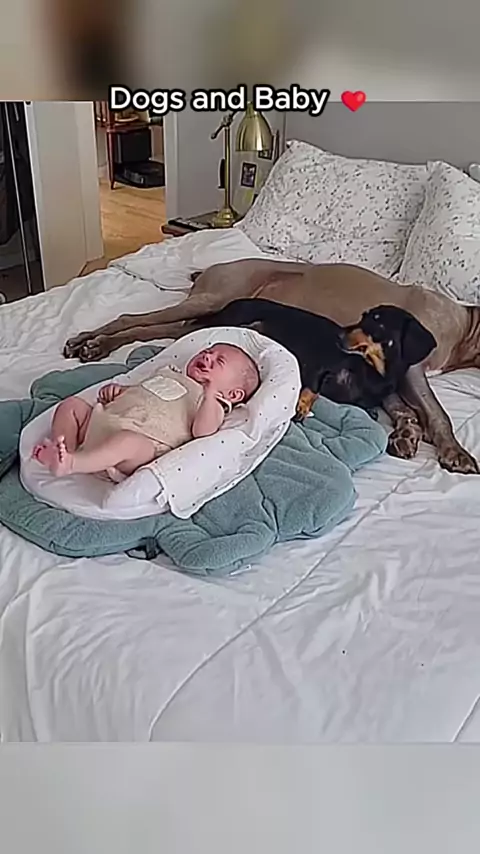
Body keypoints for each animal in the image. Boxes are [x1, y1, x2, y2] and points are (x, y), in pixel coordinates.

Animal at [63, 260, 480, 474]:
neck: (467, 328)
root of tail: (214, 267)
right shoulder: (412, 367)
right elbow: (436, 411)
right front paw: (455, 451)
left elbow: (402, 407)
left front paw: (407, 433)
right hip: (212, 298)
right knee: (133, 317)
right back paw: (91, 341)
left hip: (206, 317)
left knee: (155, 327)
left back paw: (94, 344)